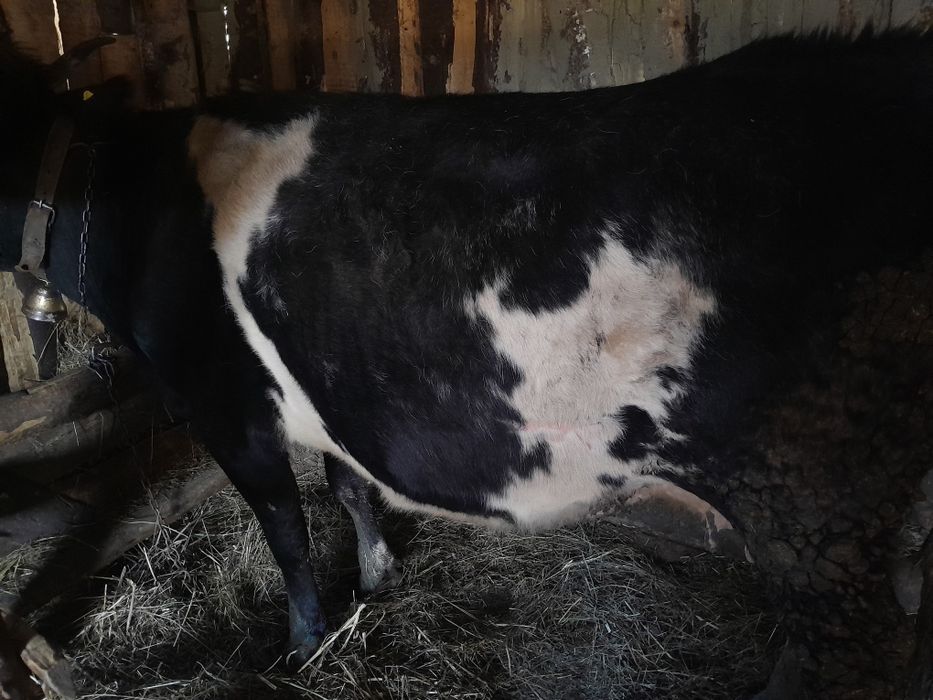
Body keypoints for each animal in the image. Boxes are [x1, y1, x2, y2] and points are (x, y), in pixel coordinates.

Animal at [1, 28, 932, 699]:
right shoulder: (334, 391)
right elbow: (349, 487)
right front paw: (375, 579)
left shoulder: (223, 402)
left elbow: (286, 533)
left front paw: (303, 644)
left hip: (816, 497)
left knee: (857, 649)